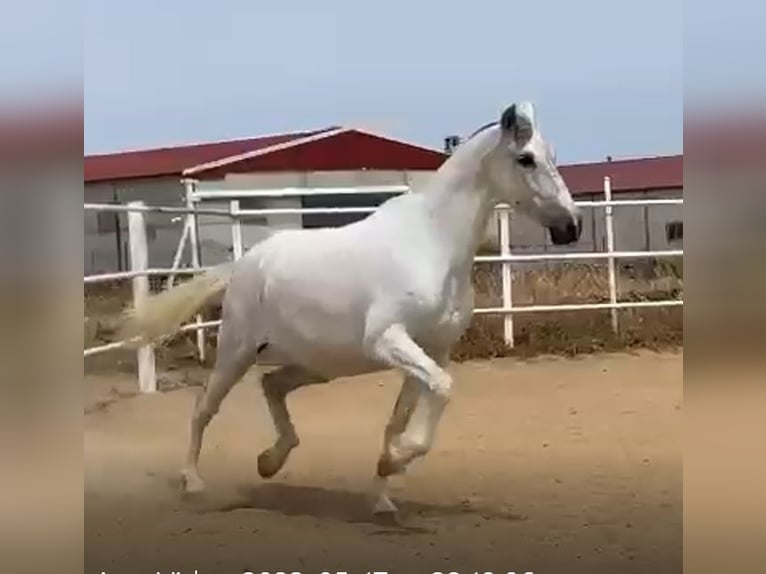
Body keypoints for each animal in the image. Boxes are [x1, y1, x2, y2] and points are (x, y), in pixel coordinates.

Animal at [123, 102, 584, 516]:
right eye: (525, 159)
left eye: (552, 155)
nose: (571, 227)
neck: (432, 243)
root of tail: (245, 264)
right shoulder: (388, 339)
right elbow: (442, 390)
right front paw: (393, 462)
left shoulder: (432, 350)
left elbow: (402, 418)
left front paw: (383, 494)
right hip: (236, 350)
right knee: (204, 408)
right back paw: (194, 484)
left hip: (316, 365)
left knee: (271, 385)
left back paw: (269, 462)